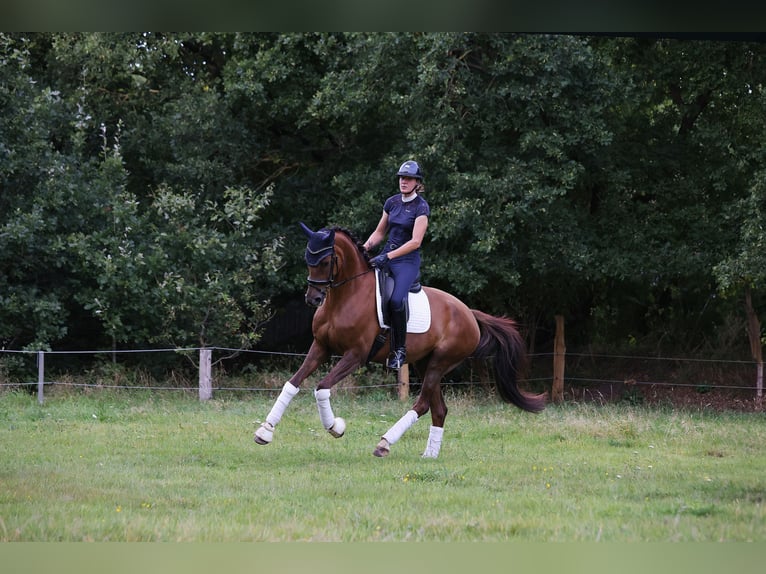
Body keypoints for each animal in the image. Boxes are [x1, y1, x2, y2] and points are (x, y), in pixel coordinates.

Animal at [253, 223, 546, 458]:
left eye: (325, 261)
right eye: (307, 259)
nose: (313, 298)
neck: (344, 297)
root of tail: (469, 314)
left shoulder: (356, 355)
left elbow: (322, 388)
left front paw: (335, 426)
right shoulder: (321, 347)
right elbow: (292, 384)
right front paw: (265, 431)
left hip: (440, 362)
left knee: (423, 404)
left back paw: (385, 443)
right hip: (425, 364)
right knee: (439, 409)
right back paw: (429, 455)